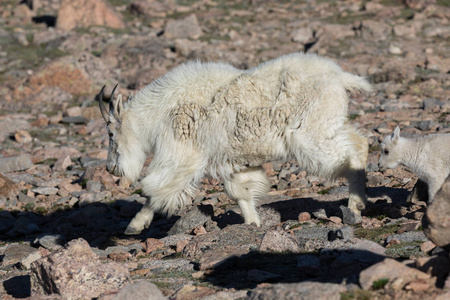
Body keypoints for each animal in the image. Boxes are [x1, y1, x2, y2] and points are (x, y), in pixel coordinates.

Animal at [99, 52, 372, 234]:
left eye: (111, 133)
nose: (110, 168)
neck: (159, 112)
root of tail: (340, 78)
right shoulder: (233, 162)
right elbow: (241, 192)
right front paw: (252, 223)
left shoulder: (182, 155)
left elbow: (157, 190)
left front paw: (134, 226)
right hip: (328, 123)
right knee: (358, 141)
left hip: (310, 134)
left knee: (355, 150)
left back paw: (356, 205)